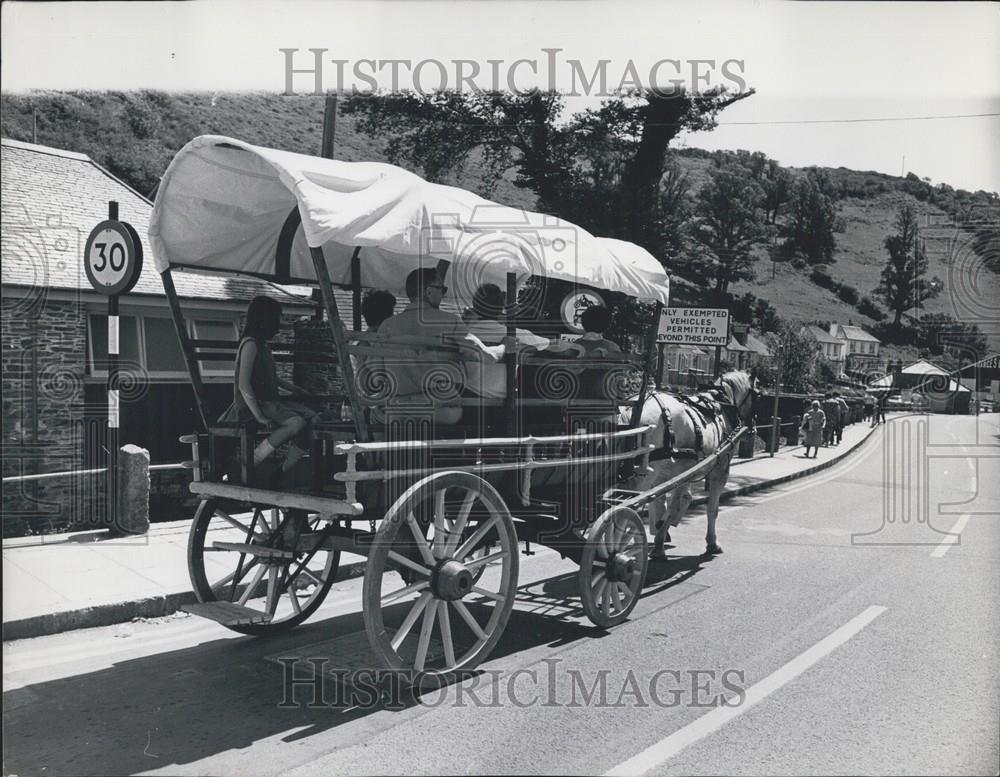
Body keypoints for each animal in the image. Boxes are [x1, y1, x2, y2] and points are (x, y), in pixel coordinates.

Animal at [616, 372, 756, 556]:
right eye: (758, 396)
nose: (753, 430)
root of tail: (629, 410)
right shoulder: (720, 471)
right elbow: (711, 509)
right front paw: (712, 543)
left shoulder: (680, 474)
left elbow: (672, 502)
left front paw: (661, 535)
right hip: (644, 476)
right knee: (627, 506)